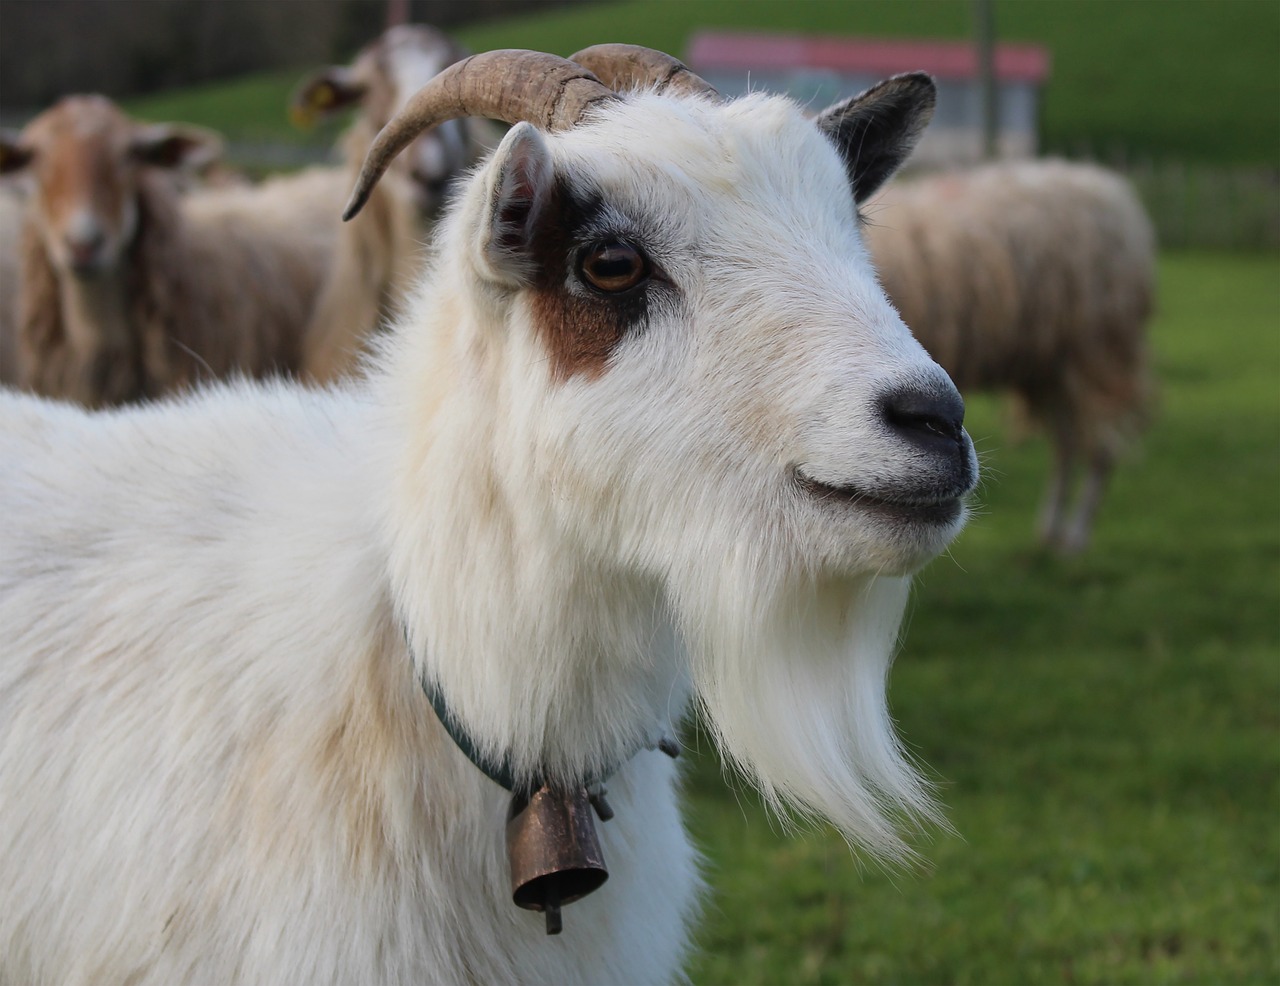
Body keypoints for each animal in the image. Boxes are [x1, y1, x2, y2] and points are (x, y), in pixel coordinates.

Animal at [865, 157, 1157, 548]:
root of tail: (1107, 187)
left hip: (1097, 350)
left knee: (1101, 448)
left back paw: (1075, 538)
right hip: (1051, 365)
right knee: (1067, 444)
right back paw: (1049, 531)